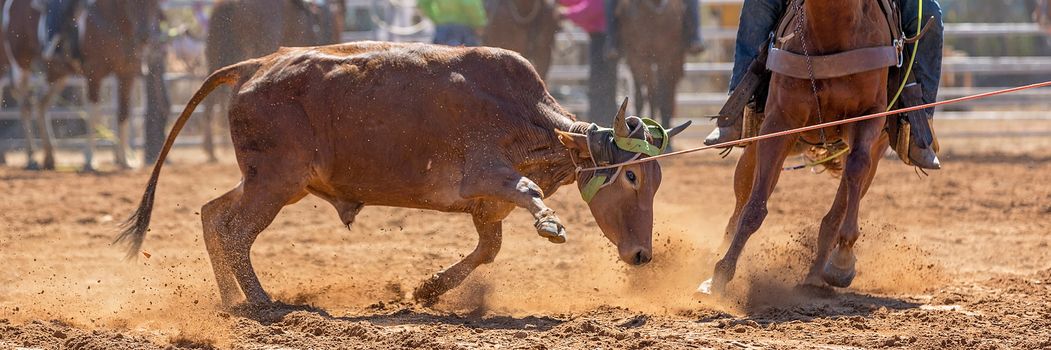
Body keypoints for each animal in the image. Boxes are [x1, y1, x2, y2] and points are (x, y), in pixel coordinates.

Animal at [4, 0, 159, 169]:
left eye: (154, 3)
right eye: (132, 3)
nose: (144, 36)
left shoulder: (127, 74)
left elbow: (123, 114)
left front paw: (125, 160)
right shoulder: (94, 73)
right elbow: (93, 115)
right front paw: (90, 159)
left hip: (57, 74)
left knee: (40, 104)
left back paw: (49, 156)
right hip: (21, 65)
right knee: (25, 107)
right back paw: (32, 157)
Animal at [706, 0, 895, 292]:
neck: (834, 28)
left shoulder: (870, 117)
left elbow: (856, 167)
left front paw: (843, 261)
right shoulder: (779, 123)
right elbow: (754, 207)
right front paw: (722, 273)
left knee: (840, 203)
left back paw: (818, 275)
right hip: (762, 144)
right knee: (741, 200)